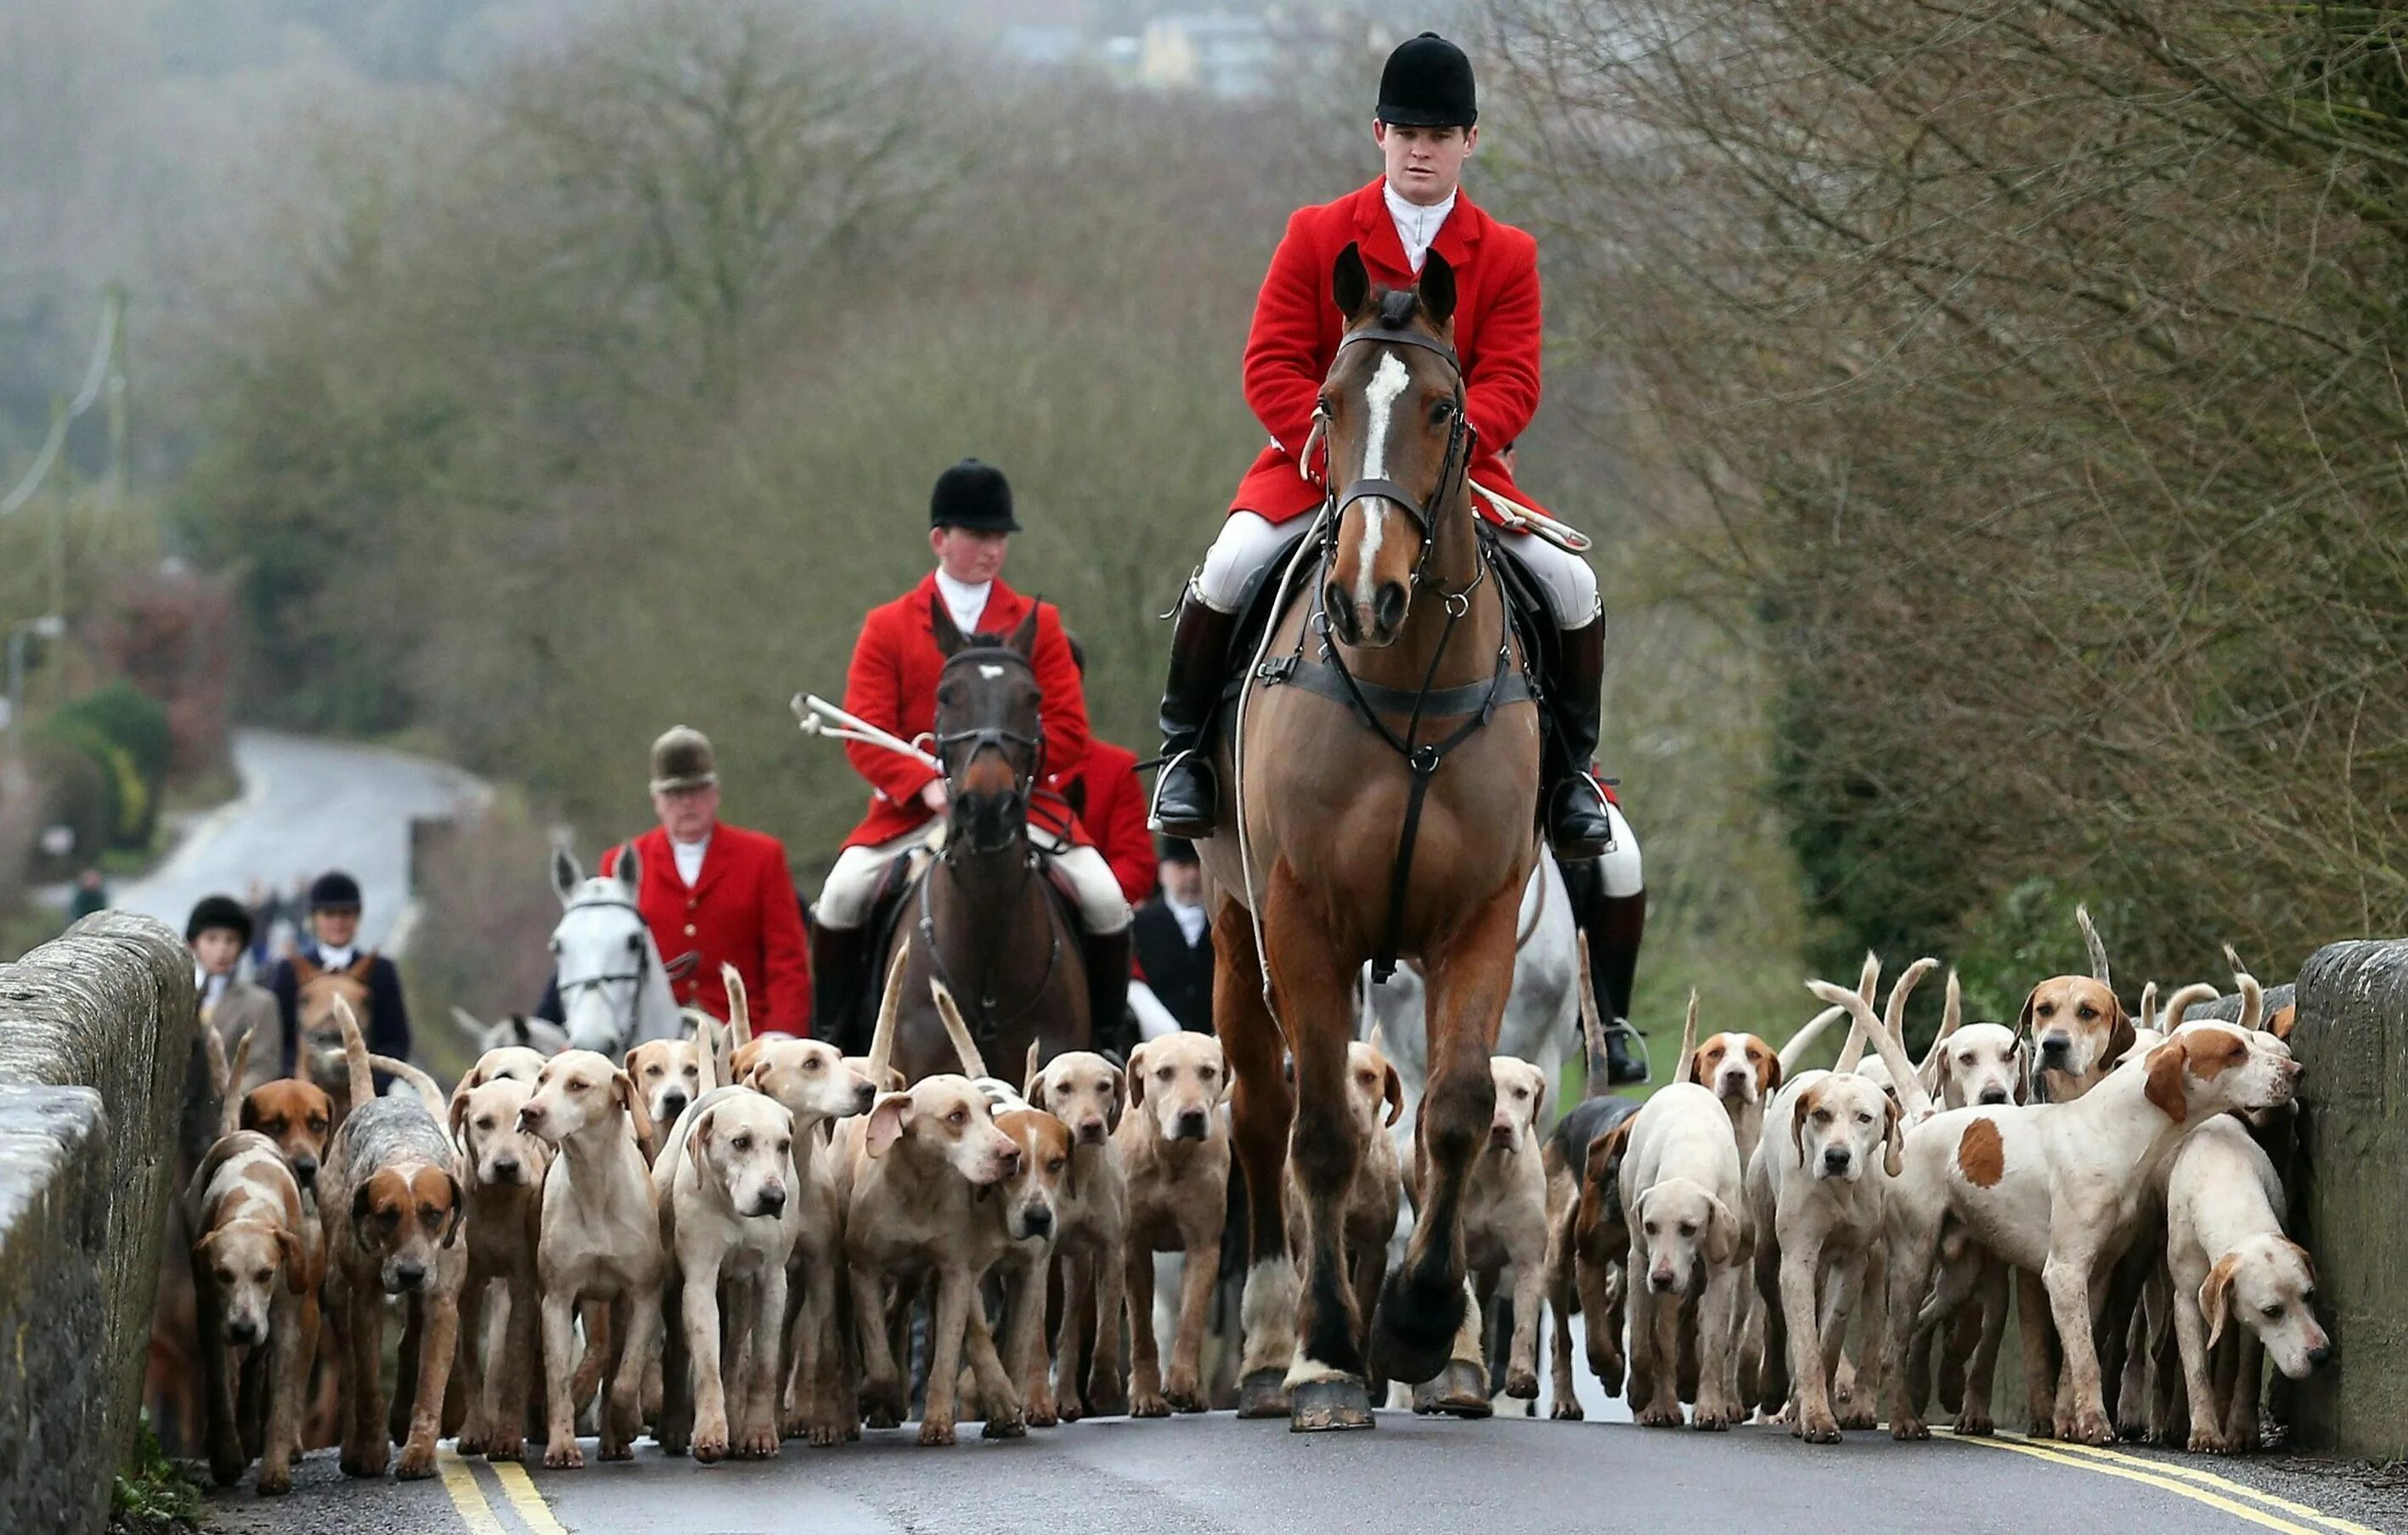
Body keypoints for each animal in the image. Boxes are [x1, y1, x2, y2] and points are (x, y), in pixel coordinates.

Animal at [1198, 240, 1541, 1426]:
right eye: (1326, 405)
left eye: (1446, 410)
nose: (1364, 594)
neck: (1406, 691)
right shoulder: (1302, 921)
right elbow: (1322, 1137)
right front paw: (1329, 1355)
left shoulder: (1476, 923)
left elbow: (1456, 1112)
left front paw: (1426, 1325)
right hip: (1236, 927)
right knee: (1264, 1118)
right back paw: (1269, 1351)